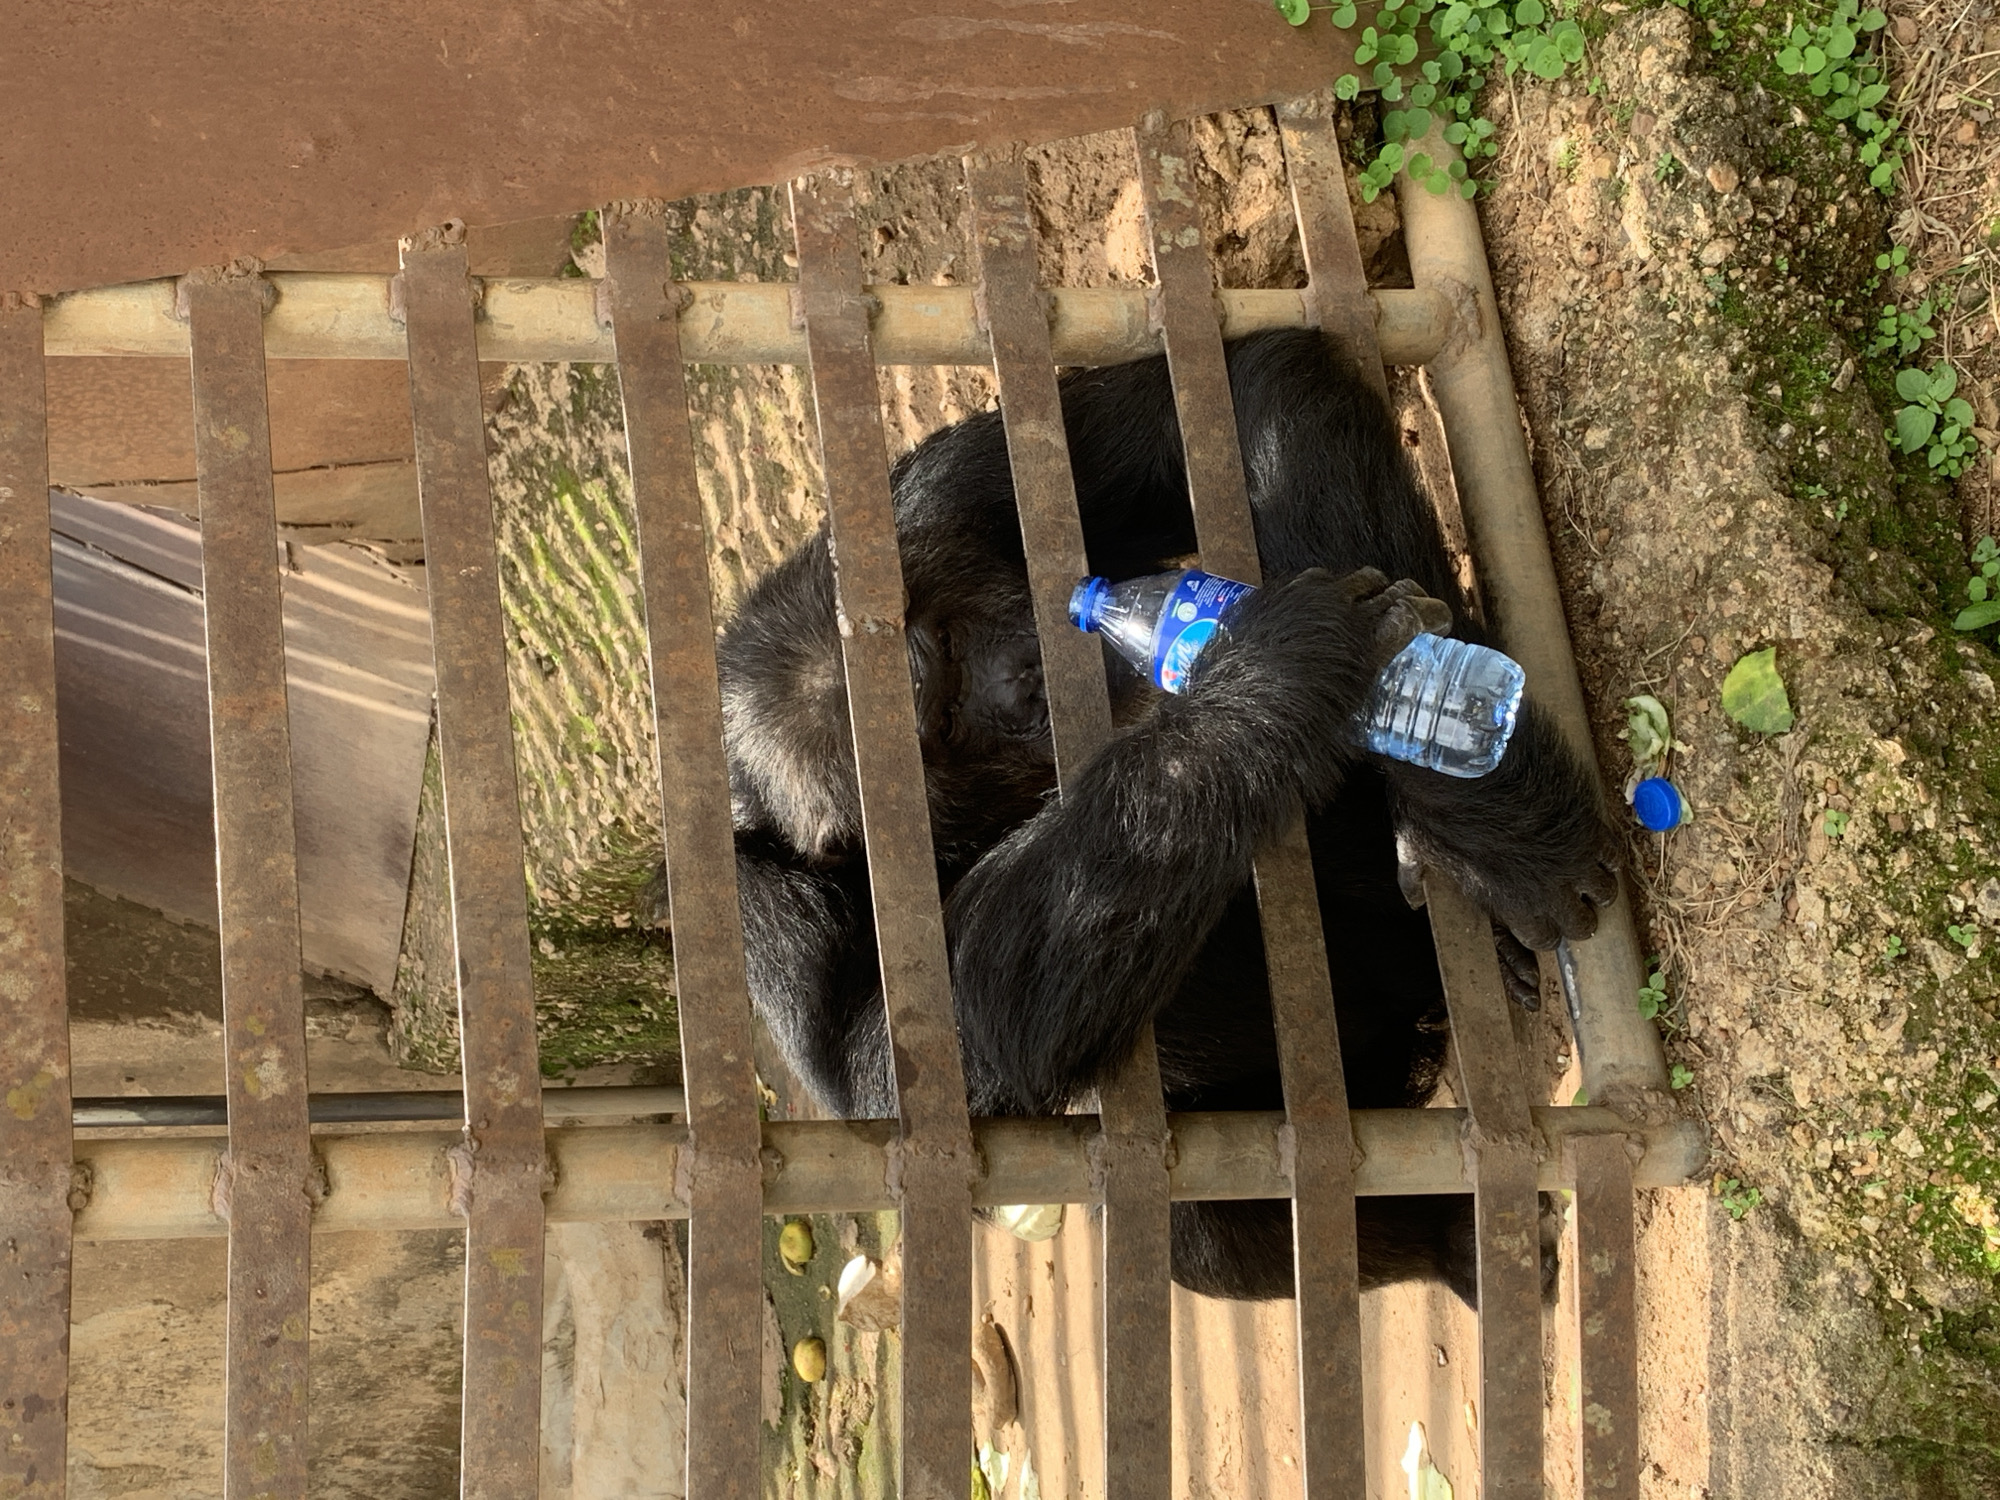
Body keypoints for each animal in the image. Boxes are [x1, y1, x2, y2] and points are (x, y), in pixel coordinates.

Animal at [705, 328, 1618, 1302]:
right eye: (941, 722)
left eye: (944, 639)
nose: (1023, 680)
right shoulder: (768, 930)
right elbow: (898, 1065)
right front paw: (1265, 678)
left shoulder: (939, 496)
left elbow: (1215, 401)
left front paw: (1497, 828)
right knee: (1207, 1224)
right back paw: (1453, 1234)